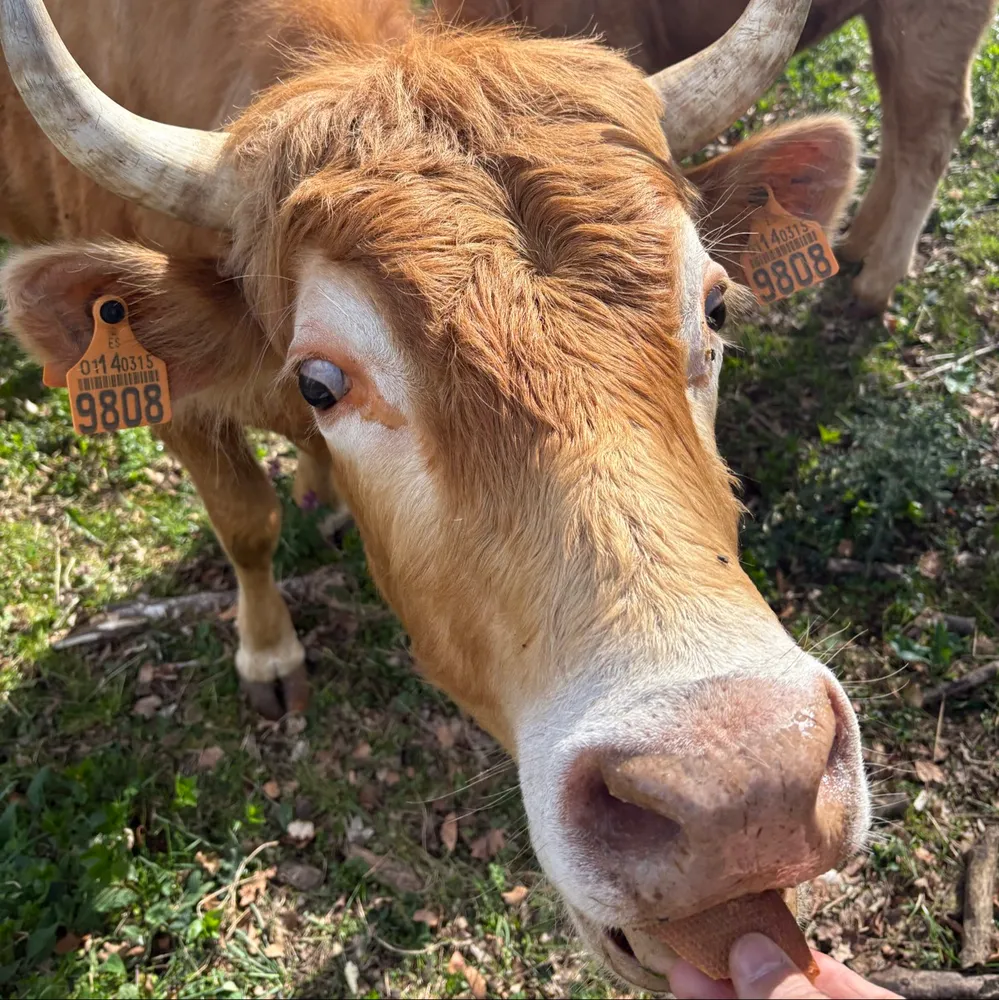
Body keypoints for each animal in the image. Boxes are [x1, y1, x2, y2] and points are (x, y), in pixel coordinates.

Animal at [0, 0, 870, 988]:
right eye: (321, 381)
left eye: (715, 307)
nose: (739, 786)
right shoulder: (180, 415)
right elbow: (246, 524)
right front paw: (269, 653)